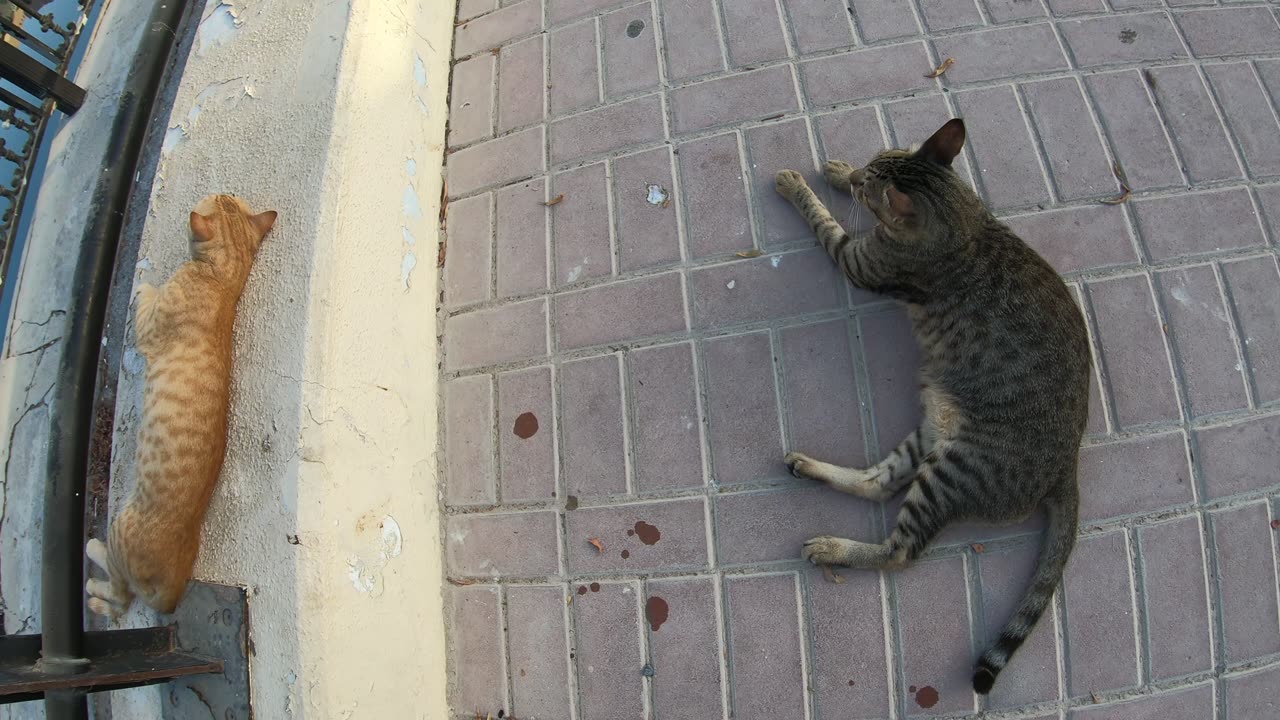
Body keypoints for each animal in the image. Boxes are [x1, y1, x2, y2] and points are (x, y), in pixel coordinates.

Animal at [87, 193, 277, 614]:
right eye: (230, 198)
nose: (224, 188)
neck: (221, 281)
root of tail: (175, 591)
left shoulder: (147, 328)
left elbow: (144, 295)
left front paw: (143, 283)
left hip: (120, 529)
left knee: (121, 595)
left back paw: (93, 563)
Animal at [773, 119, 1085, 696]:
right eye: (878, 157)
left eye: (874, 194)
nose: (860, 177)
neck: (963, 221)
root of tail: (1068, 465)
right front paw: (839, 170)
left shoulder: (857, 259)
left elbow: (823, 221)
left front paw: (803, 185)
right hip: (931, 434)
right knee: (878, 482)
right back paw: (809, 469)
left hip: (955, 469)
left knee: (900, 551)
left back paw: (832, 548)